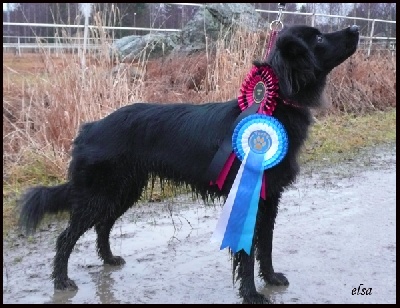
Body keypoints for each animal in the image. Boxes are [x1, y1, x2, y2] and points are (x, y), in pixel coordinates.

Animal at [18, 24, 360, 304]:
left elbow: (266, 245)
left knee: (103, 226)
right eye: (318, 38)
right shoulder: (249, 196)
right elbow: (248, 252)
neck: (273, 105)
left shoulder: (268, 198)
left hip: (124, 191)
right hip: (100, 194)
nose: (356, 29)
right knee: (66, 237)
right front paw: (251, 294)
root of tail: (88, 128)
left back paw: (110, 259)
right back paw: (62, 281)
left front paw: (272, 278)